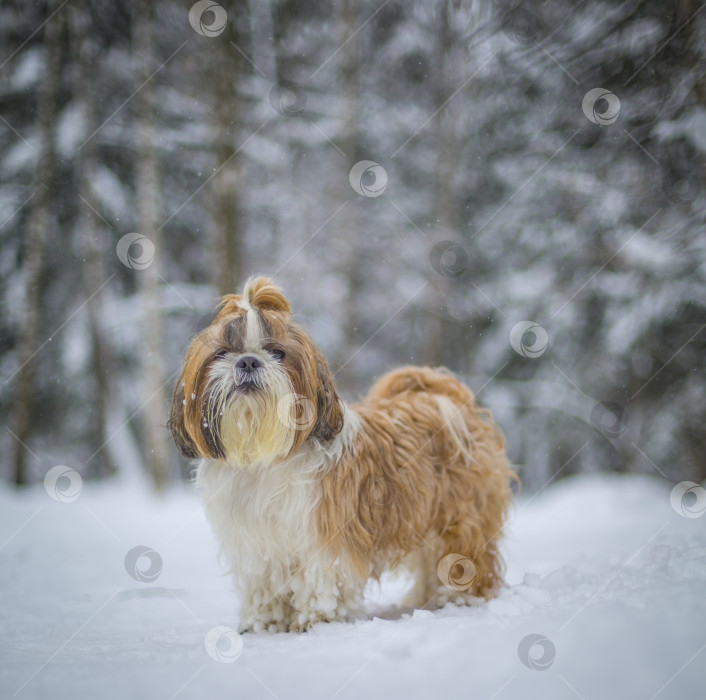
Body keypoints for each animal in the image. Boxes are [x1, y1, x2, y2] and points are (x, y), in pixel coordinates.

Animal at [168, 276, 516, 632]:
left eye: (278, 352)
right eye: (222, 353)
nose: (248, 360)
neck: (265, 456)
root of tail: (445, 401)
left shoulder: (325, 536)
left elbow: (322, 580)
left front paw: (317, 618)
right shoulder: (256, 544)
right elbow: (263, 583)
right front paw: (264, 622)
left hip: (462, 517)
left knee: (465, 557)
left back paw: (461, 598)